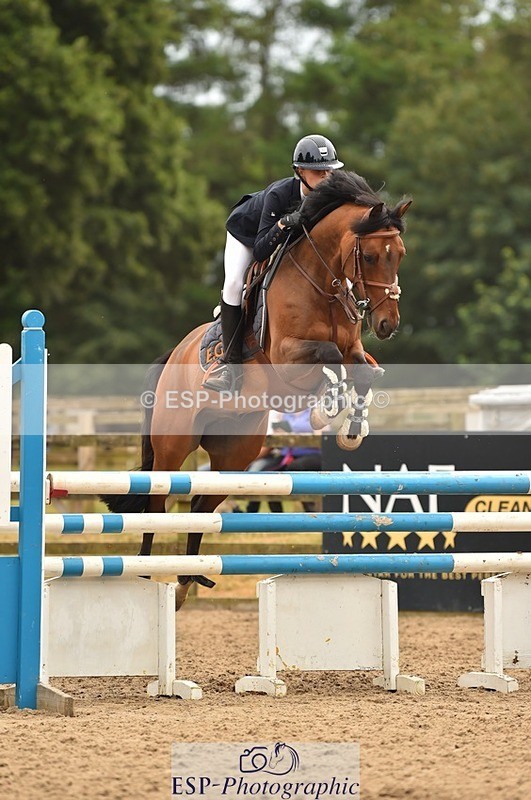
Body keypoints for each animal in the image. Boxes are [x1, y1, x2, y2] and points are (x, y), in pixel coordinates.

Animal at [102, 170, 411, 609]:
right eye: (369, 256)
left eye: (399, 253)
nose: (387, 324)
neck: (323, 282)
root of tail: (174, 354)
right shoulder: (287, 356)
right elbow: (330, 357)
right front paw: (326, 407)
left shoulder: (355, 350)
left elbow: (365, 372)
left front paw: (351, 428)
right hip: (173, 443)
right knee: (157, 504)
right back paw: (148, 574)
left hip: (236, 451)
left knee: (200, 506)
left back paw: (185, 581)